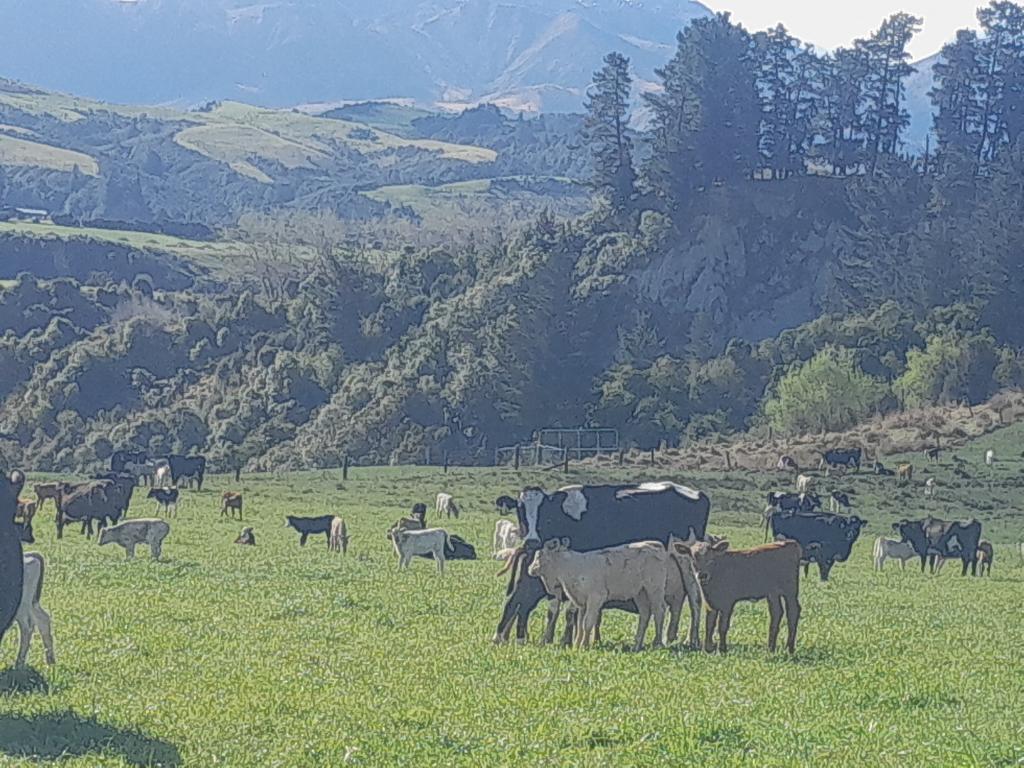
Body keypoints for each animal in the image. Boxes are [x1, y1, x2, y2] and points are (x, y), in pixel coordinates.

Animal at [495, 481, 710, 645]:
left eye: (544, 513)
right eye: (520, 511)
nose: (531, 541)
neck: (565, 516)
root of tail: (695, 492)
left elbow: (571, 610)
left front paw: (568, 641)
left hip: (686, 559)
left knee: (694, 597)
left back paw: (692, 640)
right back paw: (670, 637)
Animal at [673, 539, 802, 654]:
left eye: (711, 559)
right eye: (693, 559)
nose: (702, 575)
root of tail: (789, 542)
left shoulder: (727, 603)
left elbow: (722, 626)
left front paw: (722, 649)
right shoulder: (710, 603)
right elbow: (709, 624)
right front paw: (708, 649)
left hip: (790, 591)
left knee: (793, 612)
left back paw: (789, 648)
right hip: (773, 593)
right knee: (777, 613)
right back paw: (770, 648)